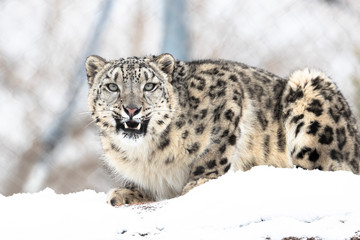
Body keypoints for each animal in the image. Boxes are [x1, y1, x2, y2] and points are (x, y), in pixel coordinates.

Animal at [85, 53, 360, 206]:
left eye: (149, 86)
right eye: (112, 86)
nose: (132, 109)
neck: (145, 153)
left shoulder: (229, 96)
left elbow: (213, 152)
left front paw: (196, 184)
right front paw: (124, 193)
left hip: (311, 93)